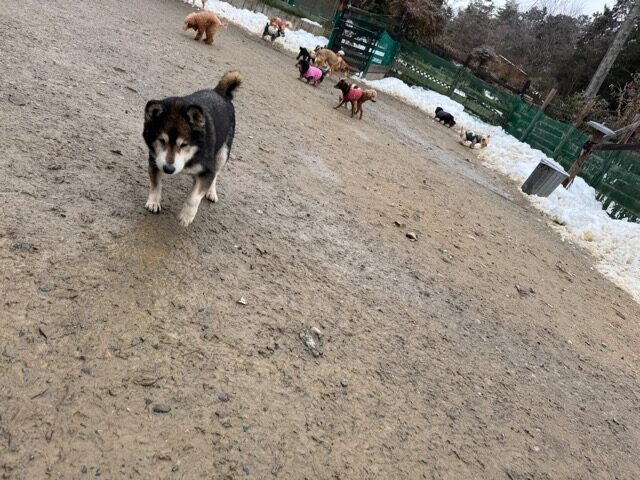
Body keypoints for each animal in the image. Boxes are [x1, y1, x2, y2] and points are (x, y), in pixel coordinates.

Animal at [143, 71, 242, 226]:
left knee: (216, 174)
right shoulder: (155, 161)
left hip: (223, 154)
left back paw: (211, 192)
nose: (168, 169)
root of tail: (219, 92)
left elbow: (194, 197)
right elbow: (156, 184)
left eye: (184, 144)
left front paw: (186, 216)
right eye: (162, 141)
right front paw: (153, 202)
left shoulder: (207, 171)